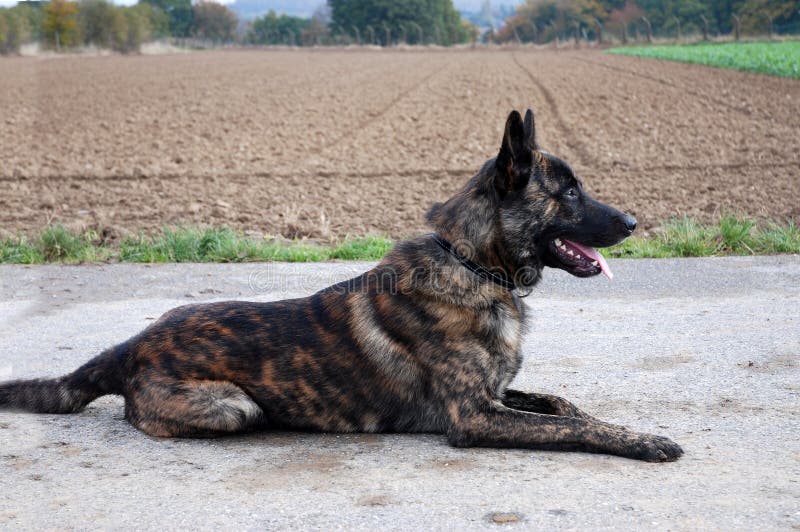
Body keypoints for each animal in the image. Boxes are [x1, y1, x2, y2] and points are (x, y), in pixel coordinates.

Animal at [1, 111, 688, 462]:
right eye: (567, 193)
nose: (634, 222)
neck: (471, 263)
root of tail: (133, 344)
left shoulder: (496, 395)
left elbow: (565, 407)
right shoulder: (473, 417)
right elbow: (574, 428)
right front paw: (645, 440)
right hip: (230, 406)